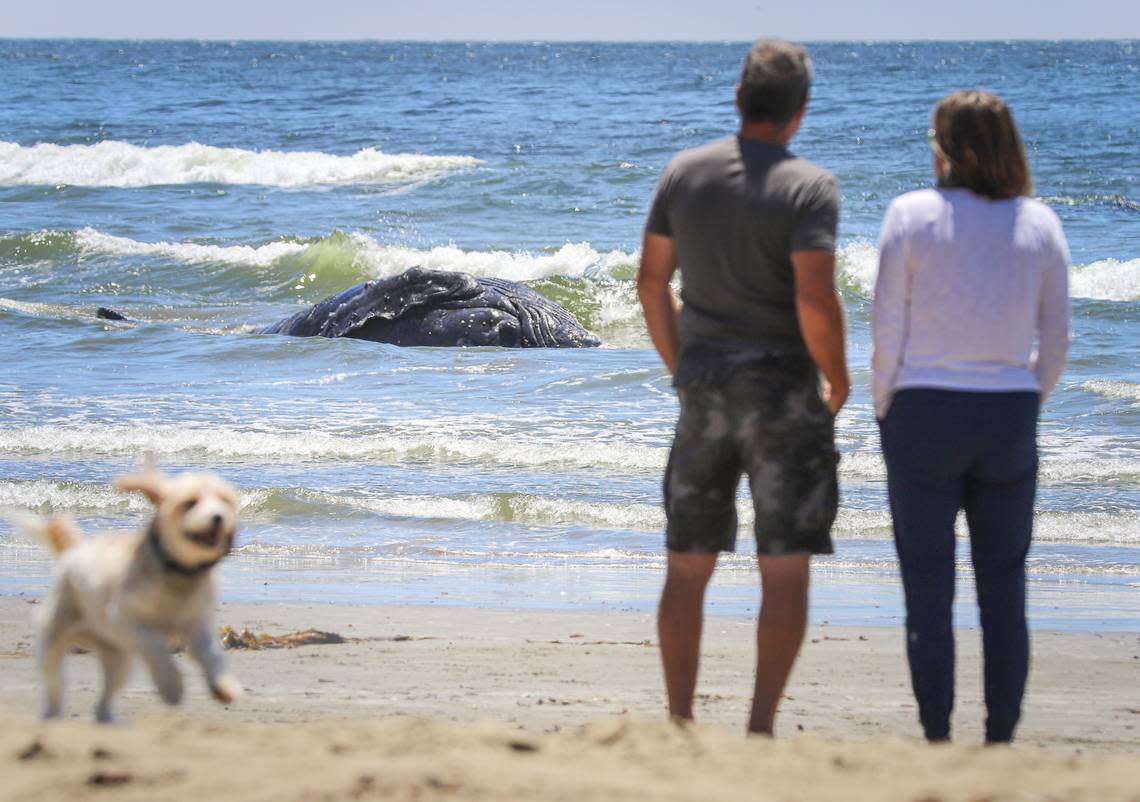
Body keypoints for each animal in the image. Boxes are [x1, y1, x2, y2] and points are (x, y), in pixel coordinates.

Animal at [26, 464, 242, 719]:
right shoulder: (125, 620)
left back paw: (109, 720)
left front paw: (224, 686)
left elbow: (212, 655)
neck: (177, 575)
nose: (218, 517)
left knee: (104, 700)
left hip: (117, 660)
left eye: (225, 501)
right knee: (54, 686)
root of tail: (75, 549)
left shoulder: (199, 626)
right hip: (54, 641)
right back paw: (52, 715)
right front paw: (171, 685)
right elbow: (155, 647)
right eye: (190, 502)